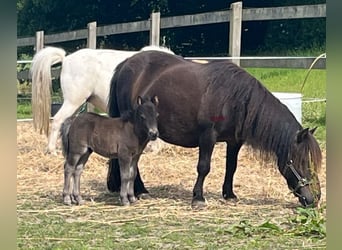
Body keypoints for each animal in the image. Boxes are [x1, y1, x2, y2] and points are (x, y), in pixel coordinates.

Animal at [106, 50, 320, 207]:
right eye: (302, 161)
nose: (314, 198)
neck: (235, 100)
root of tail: (126, 63)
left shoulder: (235, 141)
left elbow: (231, 167)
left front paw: (230, 194)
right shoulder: (208, 136)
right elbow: (204, 167)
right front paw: (198, 198)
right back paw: (140, 190)